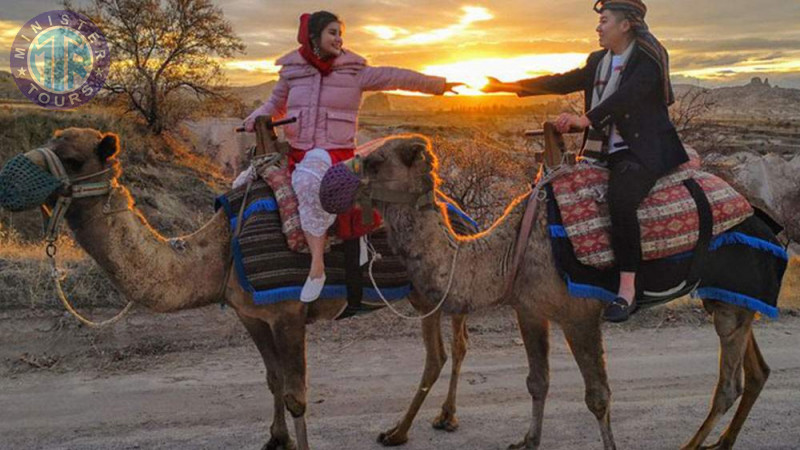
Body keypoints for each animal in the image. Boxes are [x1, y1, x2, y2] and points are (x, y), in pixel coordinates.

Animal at [330, 134, 788, 450]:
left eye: (373, 161)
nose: (333, 183)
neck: (505, 251)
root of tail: (771, 226)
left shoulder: (579, 314)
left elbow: (598, 397)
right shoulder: (530, 310)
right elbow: (537, 382)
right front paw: (527, 441)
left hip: (733, 297)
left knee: (727, 385)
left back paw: (693, 444)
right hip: (730, 297)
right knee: (756, 372)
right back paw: (722, 442)